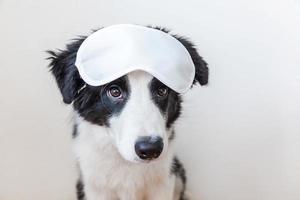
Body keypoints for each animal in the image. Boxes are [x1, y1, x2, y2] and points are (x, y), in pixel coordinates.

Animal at [47, 25, 207, 200]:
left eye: (162, 91)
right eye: (114, 91)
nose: (150, 149)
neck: (125, 162)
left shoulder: (164, 183)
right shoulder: (94, 187)